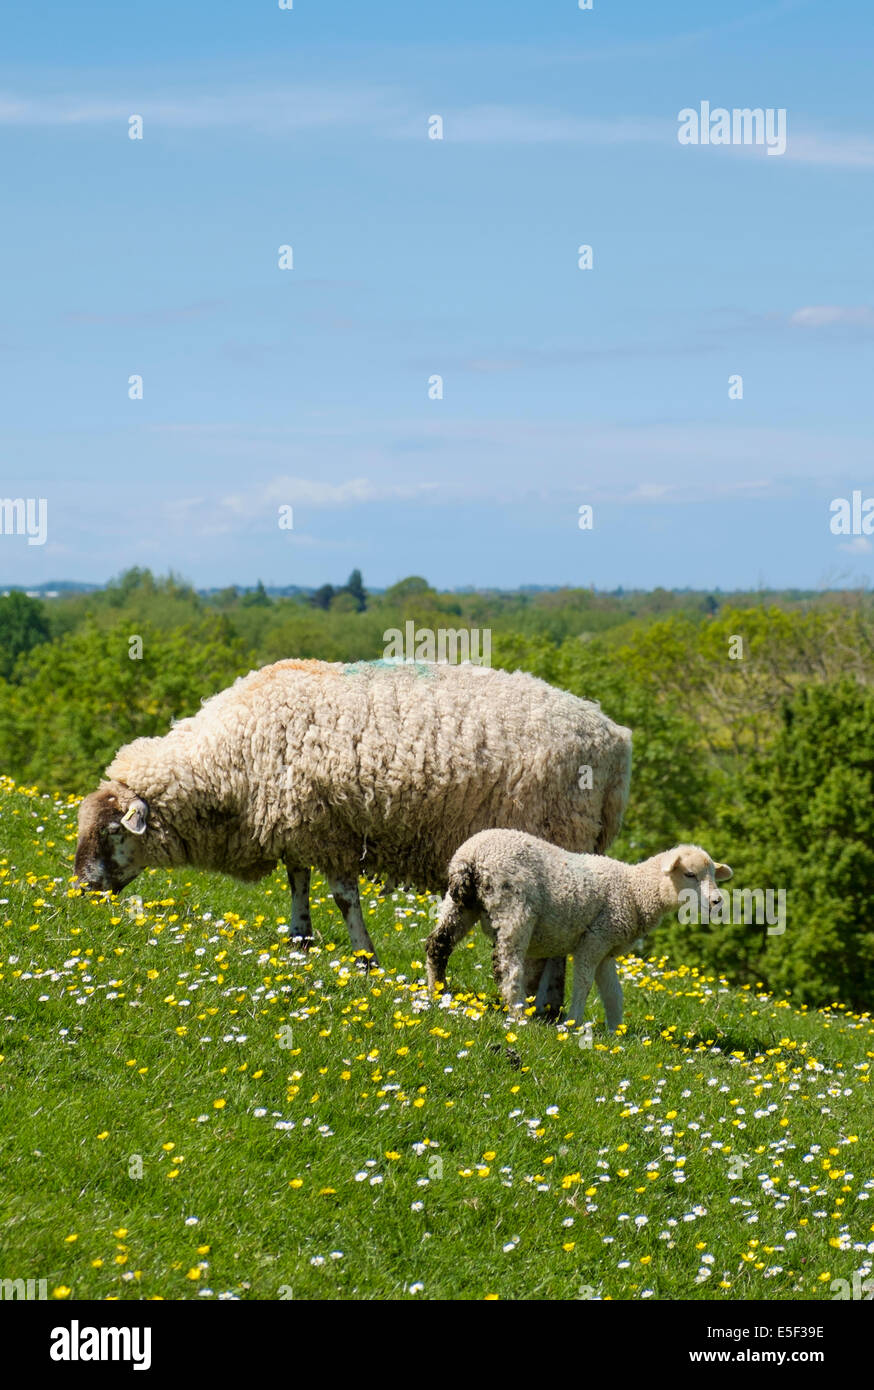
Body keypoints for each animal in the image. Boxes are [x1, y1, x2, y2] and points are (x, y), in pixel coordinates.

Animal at [73, 659, 631, 984]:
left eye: (113, 831)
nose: (82, 887)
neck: (230, 759)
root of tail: (613, 738)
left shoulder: (328, 828)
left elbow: (344, 897)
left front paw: (365, 958)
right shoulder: (298, 822)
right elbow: (297, 880)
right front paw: (299, 937)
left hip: (556, 835)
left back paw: (544, 1009)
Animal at [426, 830, 732, 1031]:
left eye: (713, 876)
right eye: (690, 874)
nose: (717, 901)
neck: (635, 890)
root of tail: (471, 857)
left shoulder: (607, 948)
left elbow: (613, 992)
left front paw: (616, 1032)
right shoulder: (594, 939)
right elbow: (583, 984)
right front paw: (573, 1022)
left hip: (460, 904)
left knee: (437, 945)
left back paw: (438, 992)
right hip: (514, 908)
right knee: (508, 965)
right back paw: (519, 1014)